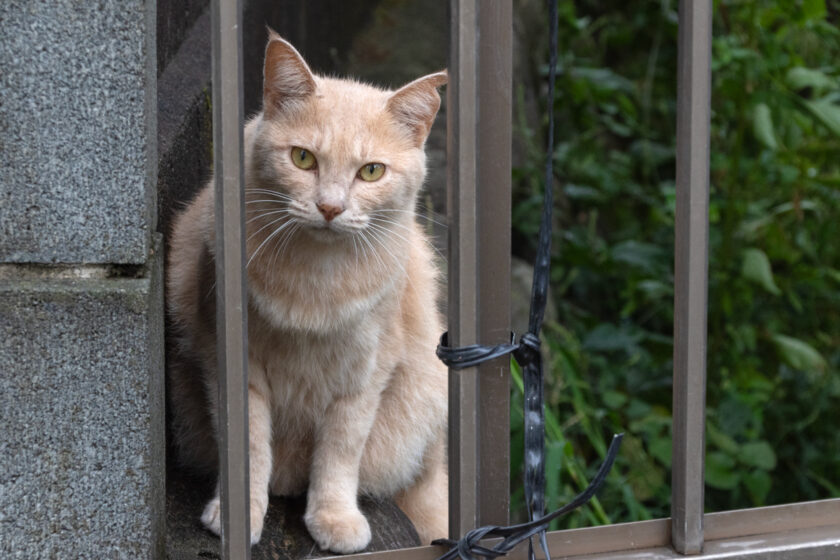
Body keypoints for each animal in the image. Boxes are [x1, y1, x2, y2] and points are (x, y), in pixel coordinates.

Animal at [167, 32, 450, 552]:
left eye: (372, 171)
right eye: (303, 158)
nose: (330, 207)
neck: (316, 278)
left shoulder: (364, 375)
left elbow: (340, 450)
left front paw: (334, 517)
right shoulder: (233, 364)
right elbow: (250, 446)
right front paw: (241, 515)